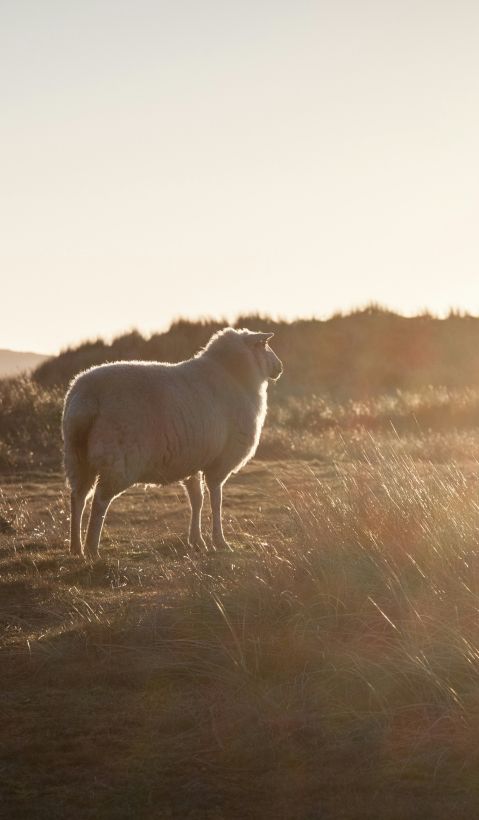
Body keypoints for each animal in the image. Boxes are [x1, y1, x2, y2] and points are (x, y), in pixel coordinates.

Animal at [62, 328, 283, 558]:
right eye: (264, 345)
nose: (280, 367)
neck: (235, 375)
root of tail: (86, 397)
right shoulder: (219, 462)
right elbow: (216, 500)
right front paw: (220, 541)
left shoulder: (193, 460)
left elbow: (197, 499)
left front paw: (197, 541)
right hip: (119, 460)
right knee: (99, 502)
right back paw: (92, 550)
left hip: (76, 456)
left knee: (78, 497)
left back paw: (76, 547)